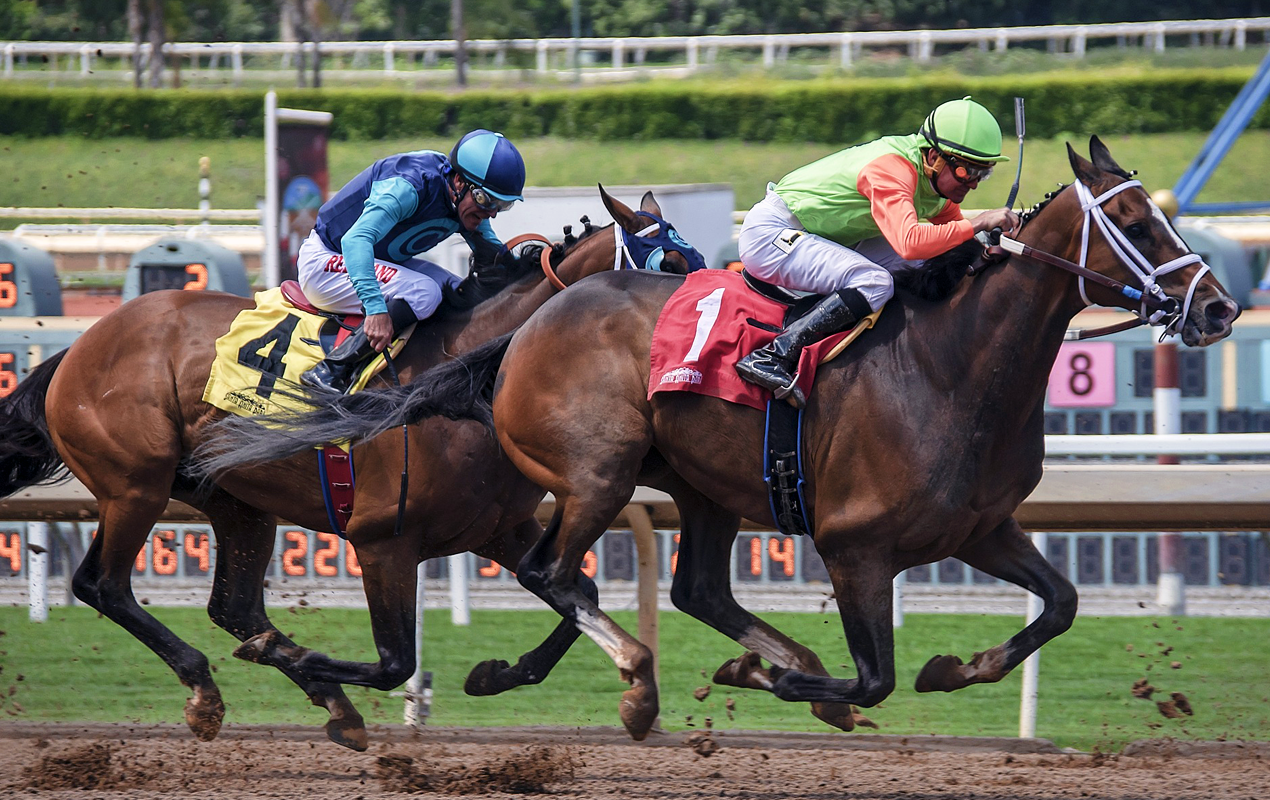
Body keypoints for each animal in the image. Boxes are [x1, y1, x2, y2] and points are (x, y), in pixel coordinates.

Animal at [0, 187, 695, 751]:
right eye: (671, 266)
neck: (463, 378)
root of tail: (79, 347)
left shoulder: (496, 528)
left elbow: (576, 590)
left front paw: (500, 674)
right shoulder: (383, 540)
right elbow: (396, 662)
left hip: (236, 501)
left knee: (234, 607)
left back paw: (322, 697)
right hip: (134, 484)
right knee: (103, 585)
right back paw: (208, 688)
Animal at [255, 136, 1239, 741]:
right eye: (1139, 223)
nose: (1220, 309)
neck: (950, 368)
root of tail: (527, 326)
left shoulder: (983, 528)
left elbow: (1060, 604)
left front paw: (957, 667)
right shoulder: (855, 546)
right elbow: (872, 678)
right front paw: (774, 681)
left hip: (701, 488)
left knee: (678, 586)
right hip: (601, 473)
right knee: (551, 569)